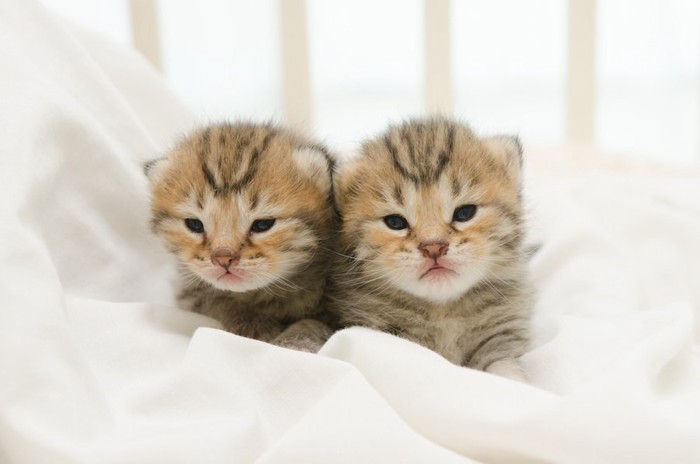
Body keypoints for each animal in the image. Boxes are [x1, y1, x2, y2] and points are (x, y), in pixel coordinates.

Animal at [146, 123, 336, 352]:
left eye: (263, 225)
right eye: (195, 225)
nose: (223, 259)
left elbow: (314, 322)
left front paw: (293, 343)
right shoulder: (189, 289)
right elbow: (216, 300)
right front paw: (253, 326)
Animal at [326, 118, 532, 378]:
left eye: (465, 213)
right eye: (395, 222)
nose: (434, 247)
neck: (442, 312)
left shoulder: (498, 337)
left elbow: (506, 372)